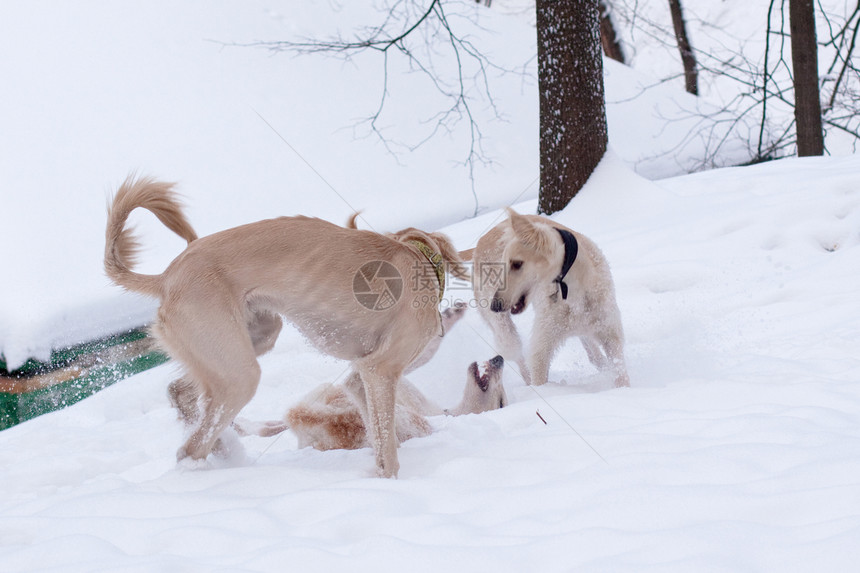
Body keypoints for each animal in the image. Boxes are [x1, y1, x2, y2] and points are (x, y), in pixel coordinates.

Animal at [108, 175, 470, 478]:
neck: (420, 258)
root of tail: (167, 277)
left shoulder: (360, 376)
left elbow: (382, 433)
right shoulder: (380, 370)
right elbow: (387, 448)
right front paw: (390, 480)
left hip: (246, 343)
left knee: (180, 394)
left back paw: (223, 447)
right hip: (238, 372)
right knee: (190, 448)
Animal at [466, 209, 628, 388]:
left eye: (517, 264)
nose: (494, 306)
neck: (573, 291)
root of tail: (479, 244)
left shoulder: (609, 332)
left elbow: (620, 372)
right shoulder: (541, 347)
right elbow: (538, 375)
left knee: (593, 353)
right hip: (503, 329)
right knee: (519, 358)